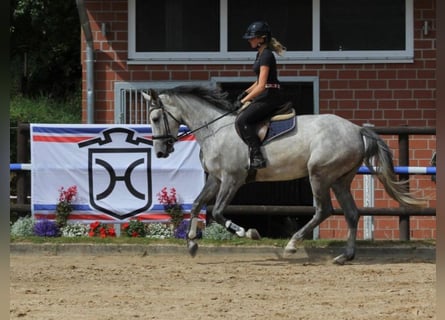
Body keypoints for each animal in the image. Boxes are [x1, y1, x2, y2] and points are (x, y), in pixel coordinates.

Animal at [140, 84, 422, 262]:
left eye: (155, 118)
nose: (161, 152)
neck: (215, 130)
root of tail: (356, 129)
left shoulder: (232, 179)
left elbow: (218, 212)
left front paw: (248, 233)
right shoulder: (216, 179)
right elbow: (198, 205)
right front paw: (191, 243)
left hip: (319, 175)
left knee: (324, 210)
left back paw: (292, 244)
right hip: (340, 179)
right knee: (351, 213)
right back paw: (345, 256)